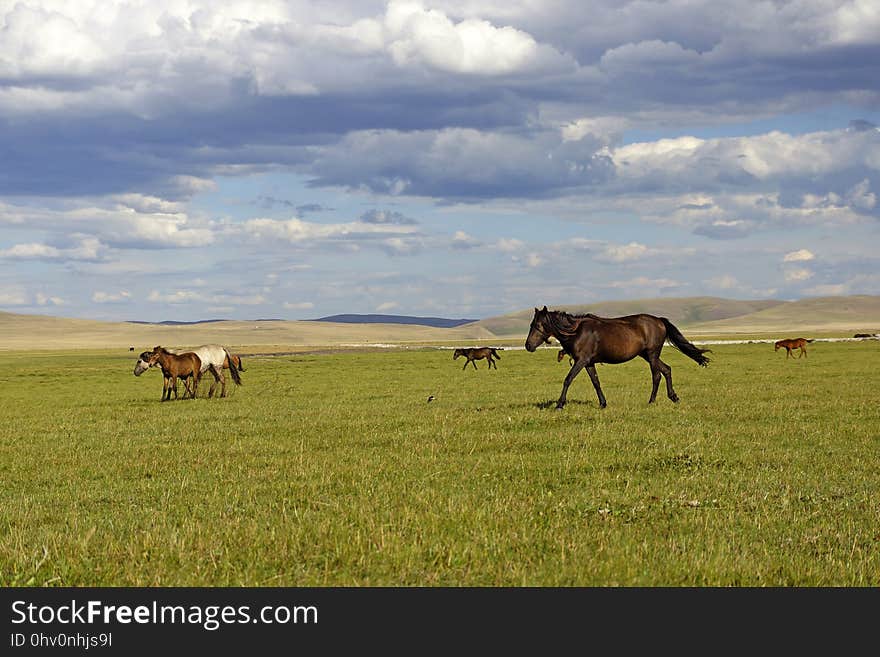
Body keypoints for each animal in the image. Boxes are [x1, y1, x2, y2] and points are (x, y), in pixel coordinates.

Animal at [524, 304, 712, 408]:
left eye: (538, 325)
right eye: (531, 324)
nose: (528, 346)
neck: (576, 331)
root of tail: (659, 320)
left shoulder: (581, 361)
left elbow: (568, 379)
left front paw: (559, 404)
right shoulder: (588, 362)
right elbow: (596, 382)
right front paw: (603, 403)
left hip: (652, 355)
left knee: (657, 375)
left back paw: (652, 401)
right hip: (647, 355)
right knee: (666, 370)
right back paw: (673, 397)